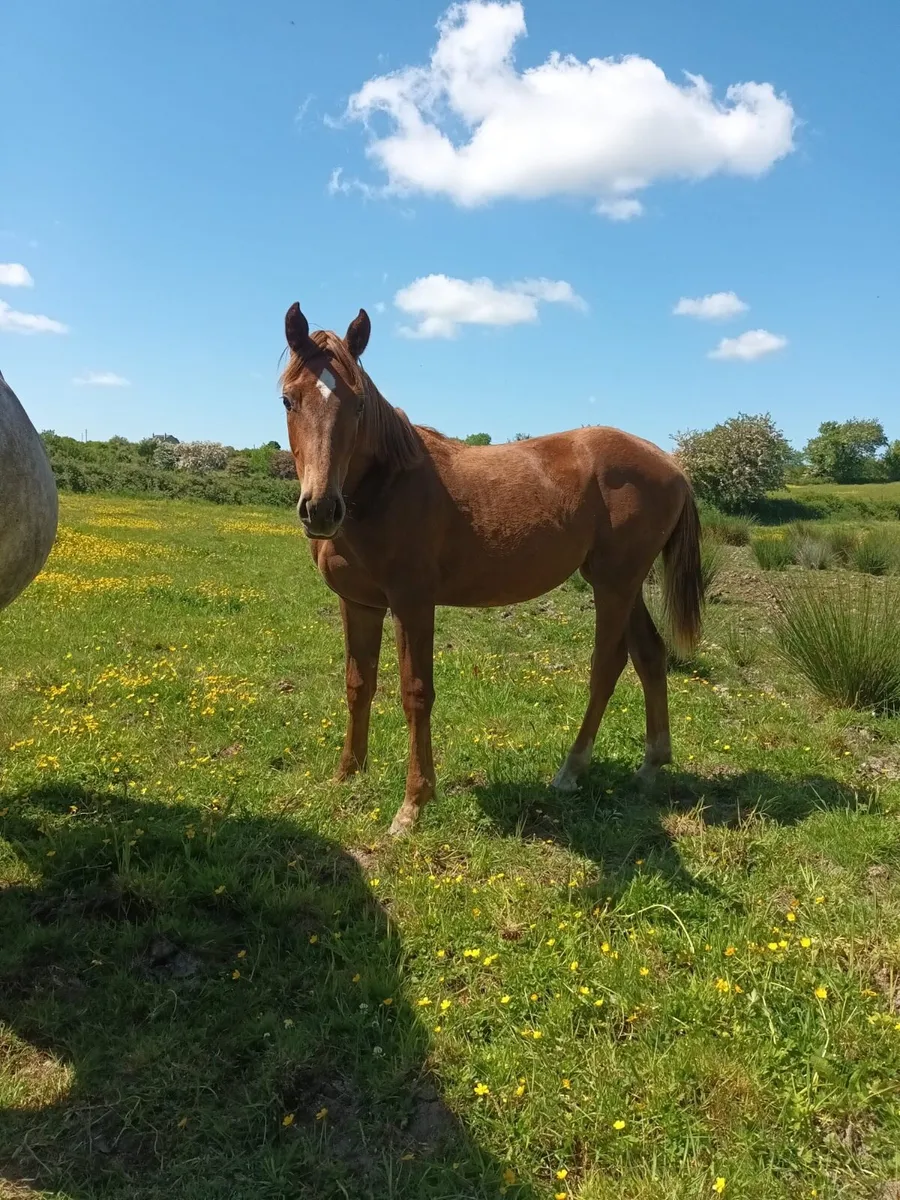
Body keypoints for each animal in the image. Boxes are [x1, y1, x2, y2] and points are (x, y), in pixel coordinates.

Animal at [279, 303, 704, 836]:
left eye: (357, 405)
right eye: (289, 400)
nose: (320, 509)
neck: (385, 486)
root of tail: (672, 465)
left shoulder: (412, 603)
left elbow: (415, 693)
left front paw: (413, 804)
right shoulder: (358, 604)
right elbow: (359, 685)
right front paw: (346, 775)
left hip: (614, 585)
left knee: (607, 666)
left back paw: (571, 770)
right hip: (623, 586)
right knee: (650, 655)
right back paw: (650, 766)